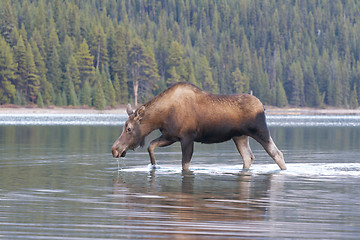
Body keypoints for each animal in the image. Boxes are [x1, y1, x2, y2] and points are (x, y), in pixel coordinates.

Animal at [112, 82, 286, 171]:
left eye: (129, 129)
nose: (115, 149)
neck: (161, 117)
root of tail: (263, 106)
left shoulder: (187, 137)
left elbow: (185, 165)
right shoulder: (170, 136)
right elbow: (150, 145)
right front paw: (154, 165)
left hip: (260, 131)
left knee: (277, 153)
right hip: (239, 137)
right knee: (248, 157)